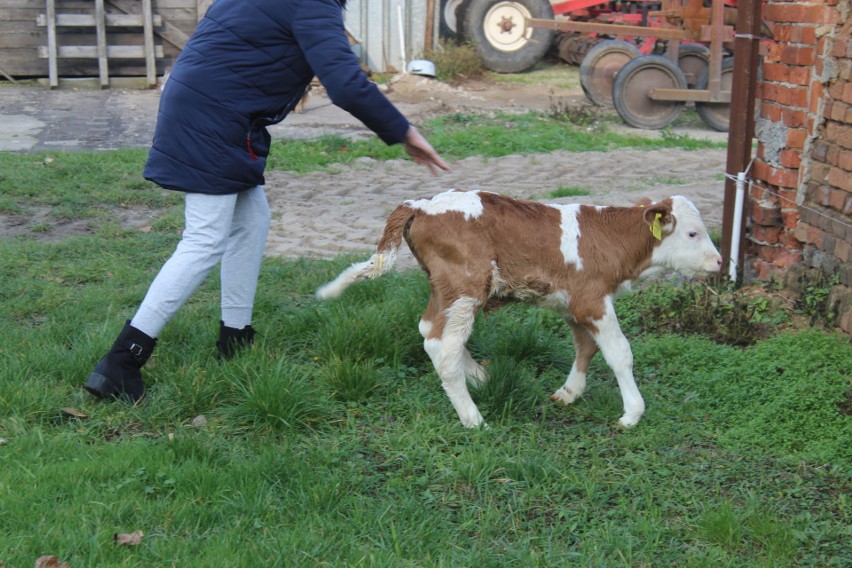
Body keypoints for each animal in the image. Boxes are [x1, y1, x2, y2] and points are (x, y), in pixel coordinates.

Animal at [316, 189, 724, 428]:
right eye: (692, 233)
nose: (719, 261)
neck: (611, 238)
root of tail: (423, 204)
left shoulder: (572, 301)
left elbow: (586, 346)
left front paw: (570, 393)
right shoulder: (592, 299)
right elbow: (619, 353)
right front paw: (632, 413)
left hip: (445, 288)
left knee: (429, 330)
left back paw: (479, 377)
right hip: (465, 285)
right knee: (442, 346)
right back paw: (473, 417)